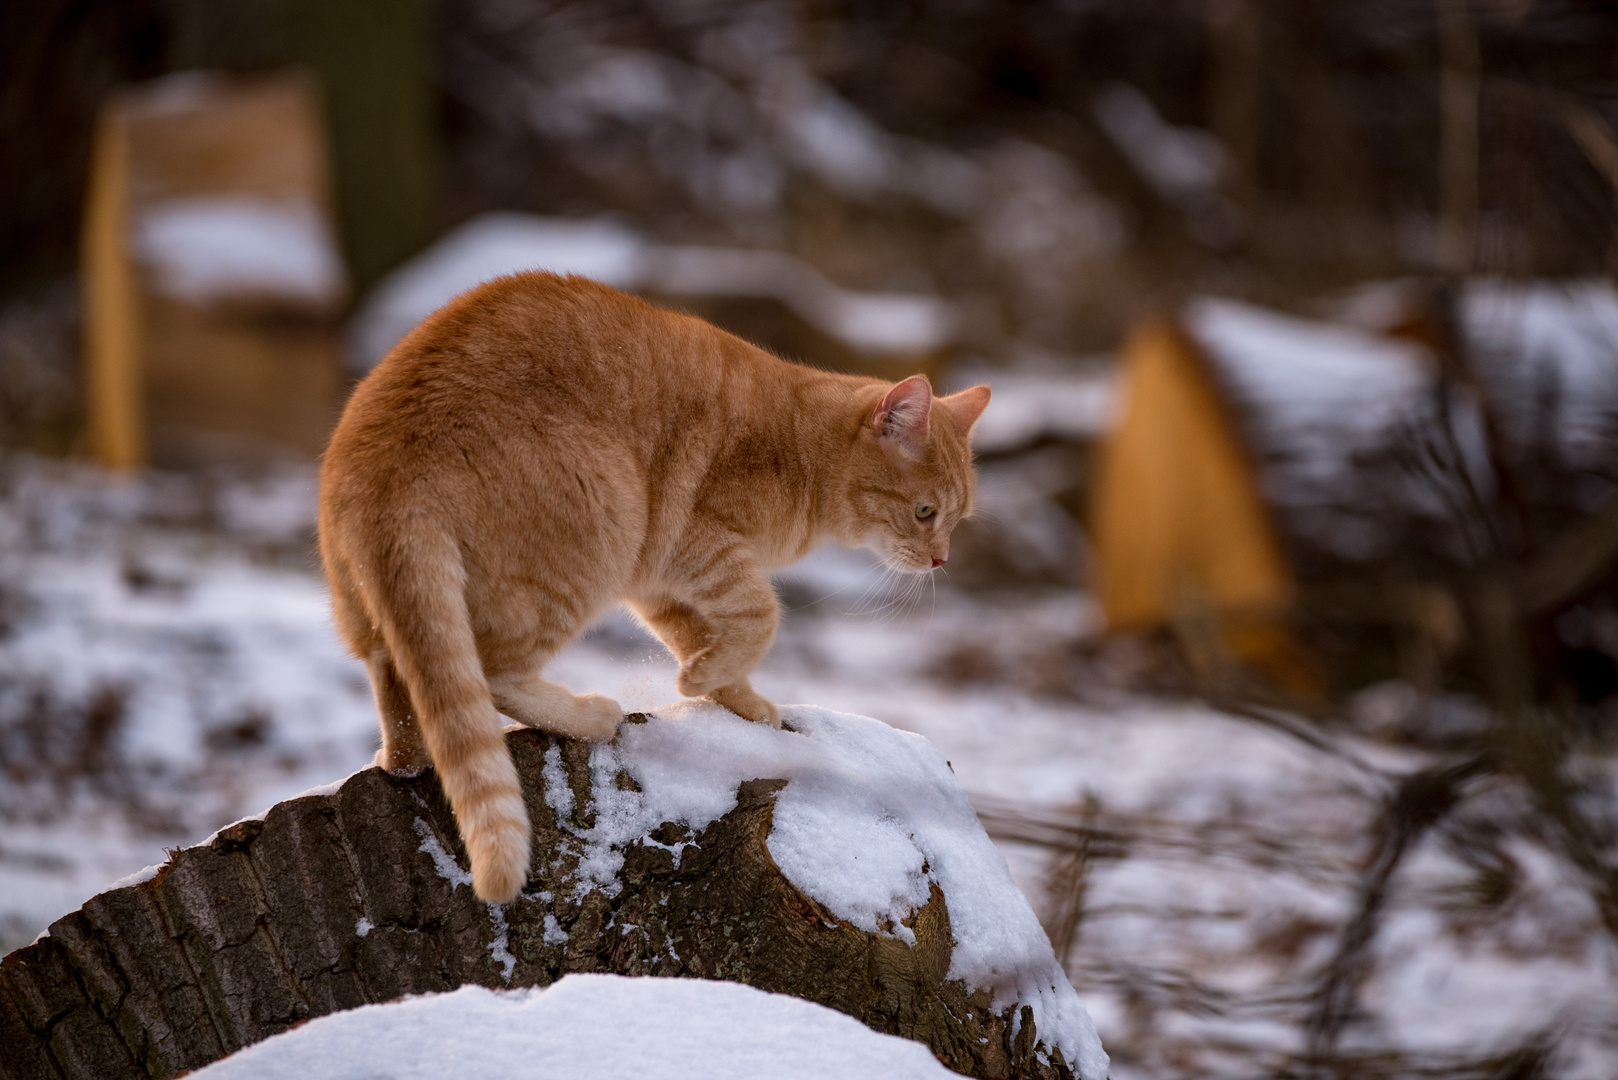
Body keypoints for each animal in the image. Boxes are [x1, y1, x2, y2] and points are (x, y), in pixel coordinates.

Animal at [318, 272, 983, 906]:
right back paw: (590, 716)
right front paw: (700, 681)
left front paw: (732, 695)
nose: (941, 559)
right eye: (925, 512)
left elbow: (699, 634)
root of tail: (390, 470)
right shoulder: (695, 543)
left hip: (385, 615)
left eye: (957, 519)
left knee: (406, 690)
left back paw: (404, 759)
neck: (804, 449)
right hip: (601, 523)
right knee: (491, 672)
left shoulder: (657, 580)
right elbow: (761, 614)